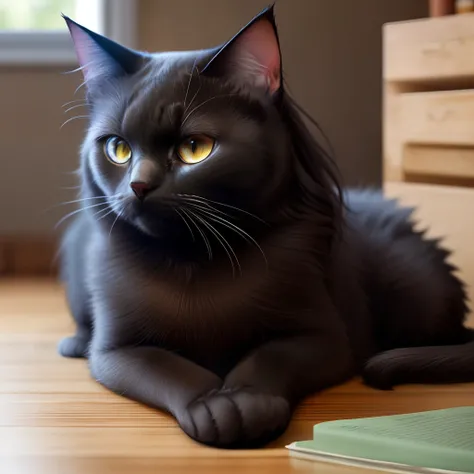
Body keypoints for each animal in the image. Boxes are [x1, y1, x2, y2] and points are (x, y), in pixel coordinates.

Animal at [57, 4, 472, 448]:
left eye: (194, 149)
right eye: (118, 149)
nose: (139, 185)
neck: (195, 262)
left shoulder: (324, 337)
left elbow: (270, 357)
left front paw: (248, 404)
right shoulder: (117, 350)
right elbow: (169, 368)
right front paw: (214, 407)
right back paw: (74, 342)